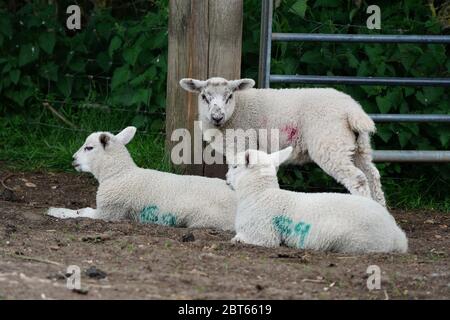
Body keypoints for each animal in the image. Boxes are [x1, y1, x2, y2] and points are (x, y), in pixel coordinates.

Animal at [47, 126, 237, 231]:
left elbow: (80, 212)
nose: (73, 159)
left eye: (89, 148)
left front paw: (55, 211)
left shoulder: (109, 211)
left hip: (205, 218)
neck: (120, 174)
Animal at [179, 78, 386, 208]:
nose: (217, 116)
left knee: (358, 178)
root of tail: (352, 110)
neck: (236, 111)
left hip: (331, 143)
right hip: (359, 146)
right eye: (204, 96)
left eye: (229, 96)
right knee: (372, 175)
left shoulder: (241, 143)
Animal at [227, 146, 406, 254]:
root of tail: (397, 236)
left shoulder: (262, 234)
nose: (227, 178)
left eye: (235, 166)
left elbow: (239, 239)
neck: (261, 194)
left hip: (357, 242)